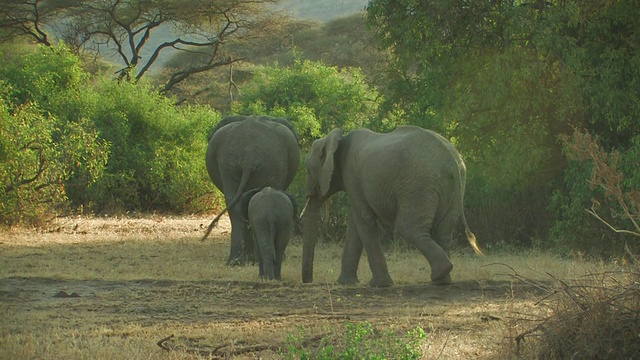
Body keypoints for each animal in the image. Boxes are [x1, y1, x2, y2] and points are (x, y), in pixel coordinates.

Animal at [302, 126, 482, 286]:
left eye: (308, 169)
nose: (308, 281)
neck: (335, 140)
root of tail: (452, 161)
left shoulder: (352, 176)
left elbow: (364, 220)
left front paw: (379, 285)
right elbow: (356, 223)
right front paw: (346, 283)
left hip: (417, 187)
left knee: (408, 229)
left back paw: (441, 273)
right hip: (451, 189)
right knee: (443, 230)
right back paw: (442, 280)